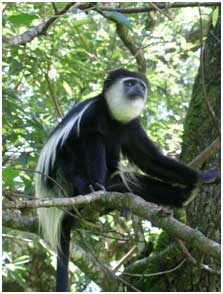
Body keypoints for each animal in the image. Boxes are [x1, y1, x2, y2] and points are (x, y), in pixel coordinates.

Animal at [35, 69, 219, 292]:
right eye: (130, 83)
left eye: (141, 85)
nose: (139, 89)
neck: (113, 118)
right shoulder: (90, 113)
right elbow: (69, 149)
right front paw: (88, 186)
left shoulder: (132, 126)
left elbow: (150, 160)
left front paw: (203, 177)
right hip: (63, 186)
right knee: (92, 140)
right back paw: (94, 190)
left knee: (130, 183)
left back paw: (183, 196)